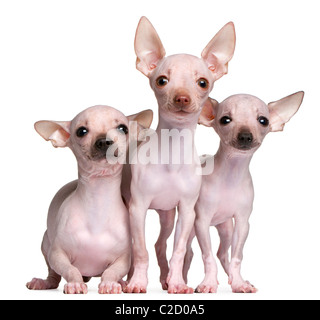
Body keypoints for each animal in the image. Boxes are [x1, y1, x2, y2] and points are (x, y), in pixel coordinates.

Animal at [25, 106, 153, 294]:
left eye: (123, 129)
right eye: (81, 131)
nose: (104, 141)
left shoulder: (123, 259)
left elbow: (111, 271)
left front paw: (109, 284)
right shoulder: (57, 255)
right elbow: (71, 269)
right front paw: (75, 284)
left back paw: (122, 283)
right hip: (46, 245)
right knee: (54, 276)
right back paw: (43, 282)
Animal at [124, 16, 236, 294]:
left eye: (203, 82)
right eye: (162, 80)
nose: (182, 98)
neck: (172, 156)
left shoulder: (187, 212)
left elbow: (178, 249)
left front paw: (176, 282)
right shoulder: (137, 208)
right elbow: (140, 250)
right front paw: (138, 282)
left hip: (167, 216)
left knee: (161, 244)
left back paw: (166, 278)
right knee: (142, 247)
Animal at [191, 92, 304, 292]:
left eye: (263, 120)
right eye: (225, 120)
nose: (245, 136)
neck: (231, 175)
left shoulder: (243, 223)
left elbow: (237, 257)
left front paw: (238, 282)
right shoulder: (201, 222)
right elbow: (207, 256)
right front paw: (208, 283)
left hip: (227, 229)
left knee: (222, 253)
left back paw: (231, 277)